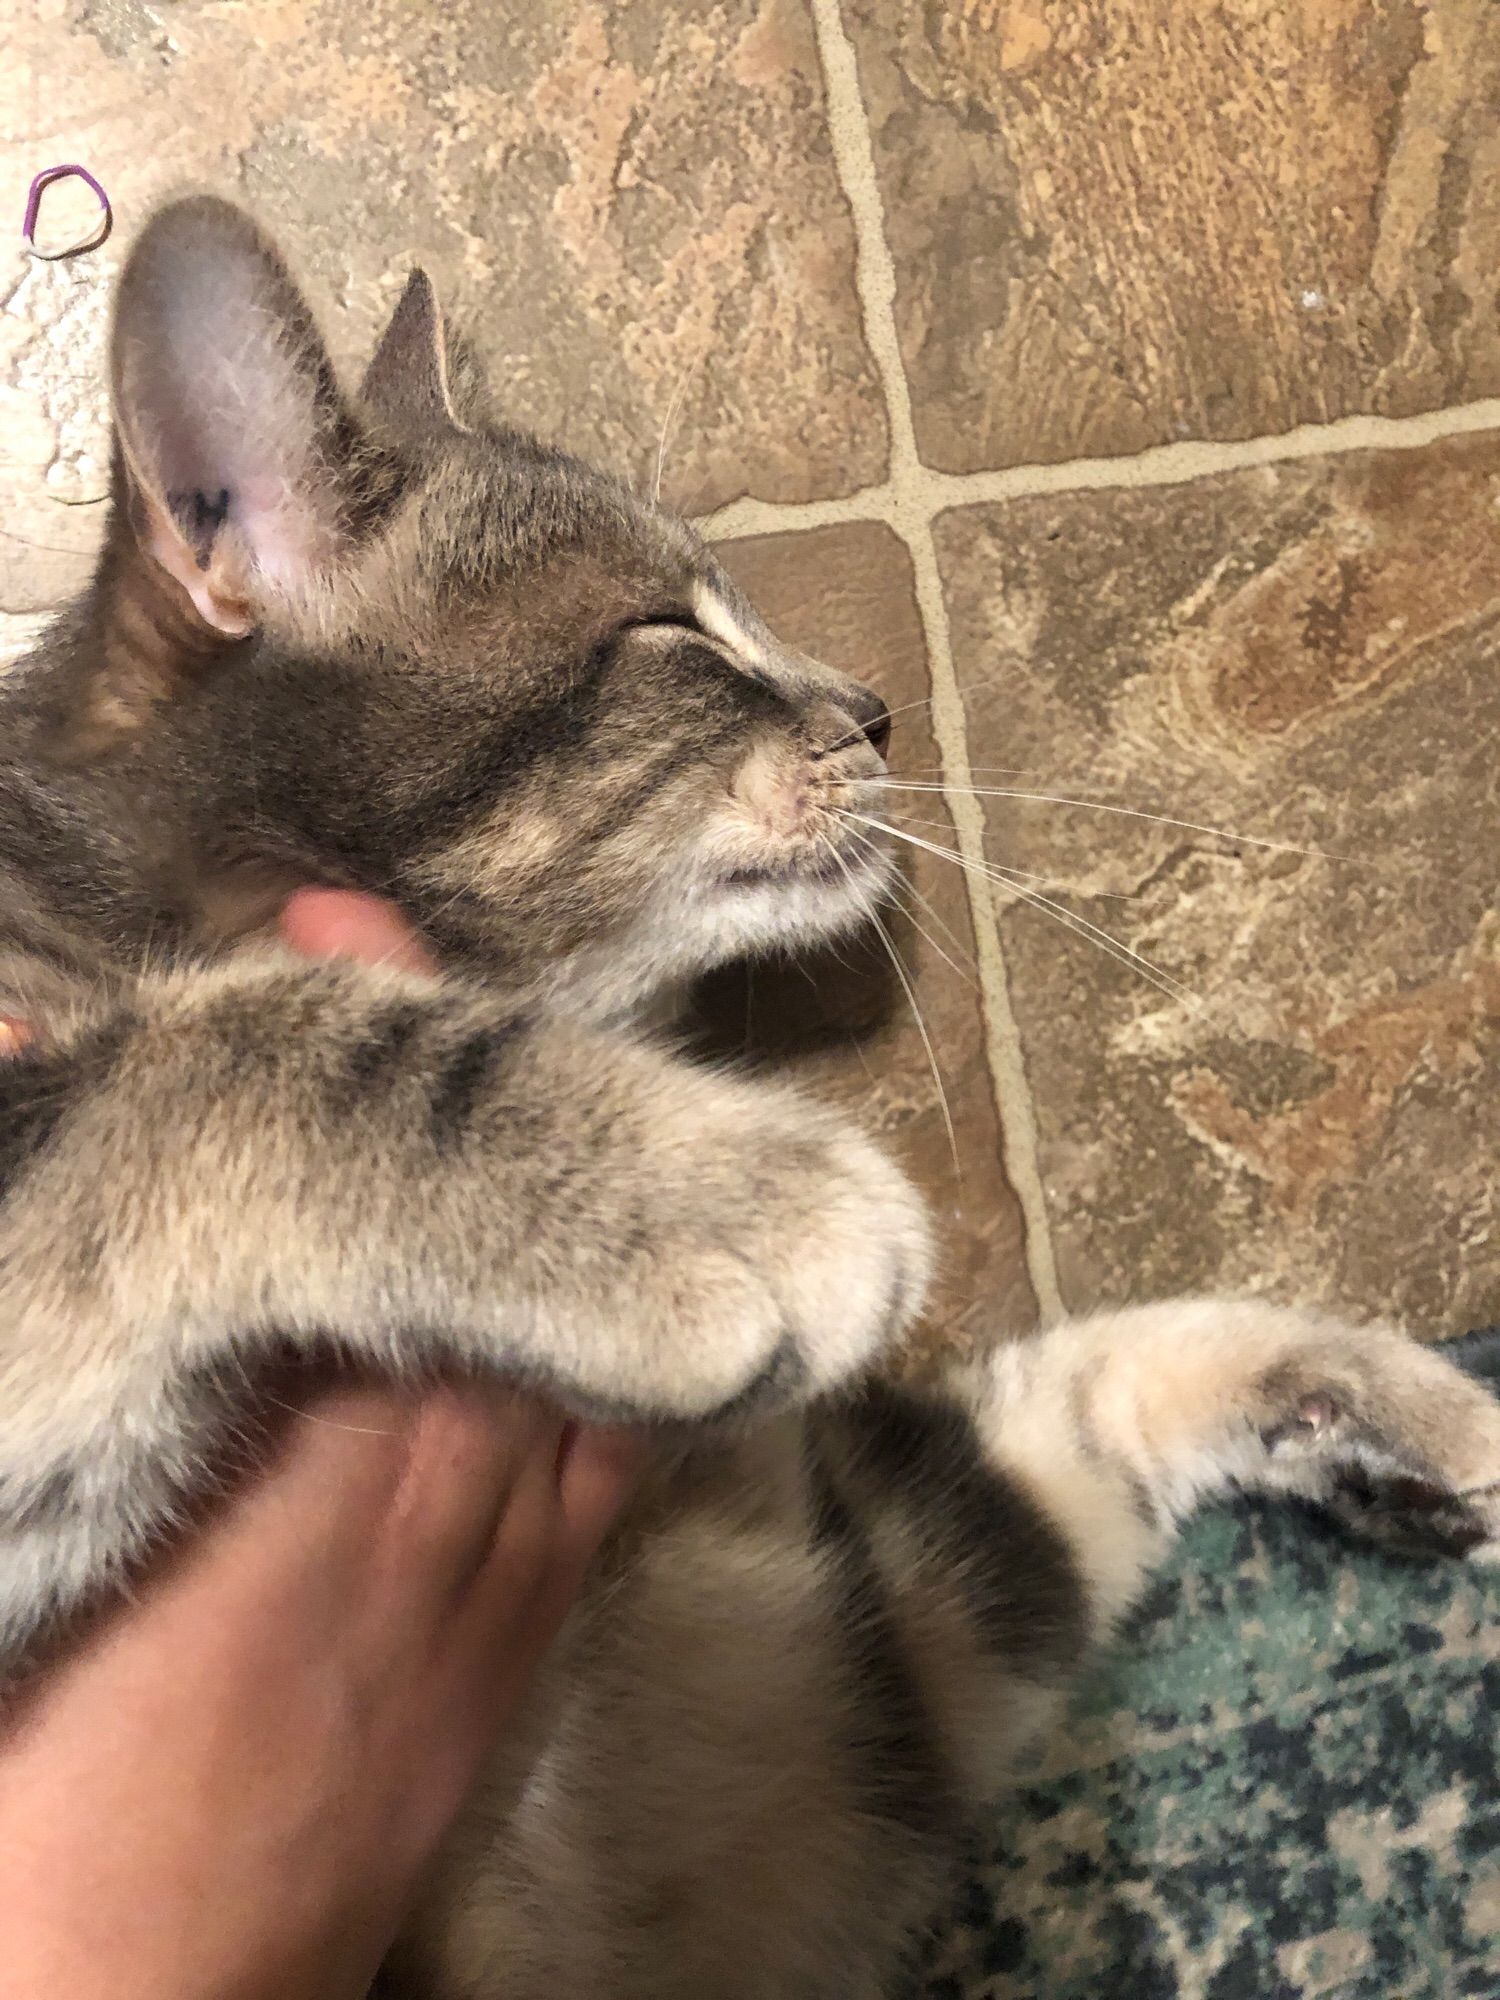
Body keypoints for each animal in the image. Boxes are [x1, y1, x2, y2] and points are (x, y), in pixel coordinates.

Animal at [2, 191, 1500, 2000]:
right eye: (669, 634)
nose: (875, 705)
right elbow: (214, 1060)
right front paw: (711, 1193)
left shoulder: (862, 1666)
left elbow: (1073, 1407)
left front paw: (1396, 1402)